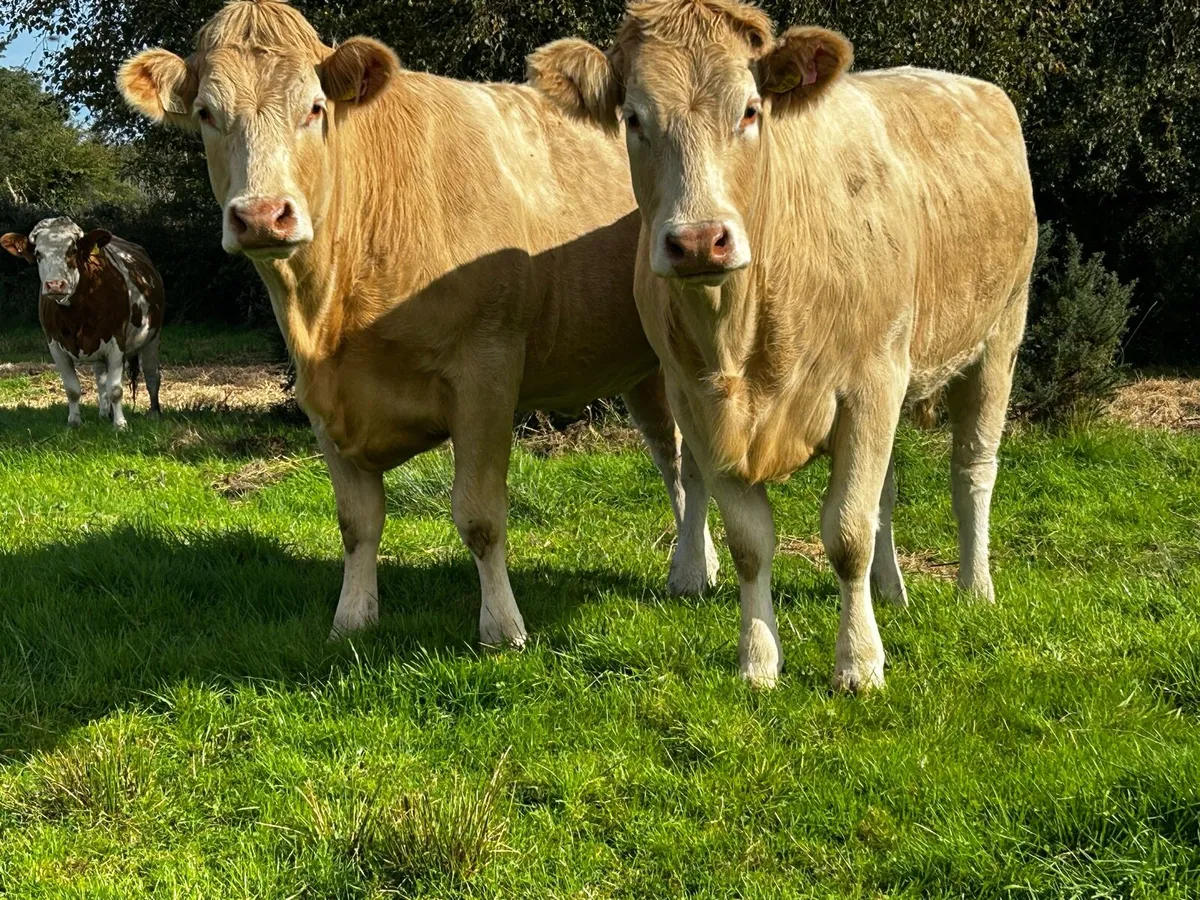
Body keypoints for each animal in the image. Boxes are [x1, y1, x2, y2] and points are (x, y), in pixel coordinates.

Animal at [2, 217, 164, 429]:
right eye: (37, 253)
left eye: (72, 250)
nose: (55, 285)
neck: (75, 315)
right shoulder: (55, 345)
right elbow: (72, 388)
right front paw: (74, 422)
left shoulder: (116, 342)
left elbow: (115, 388)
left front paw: (120, 424)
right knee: (101, 379)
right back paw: (104, 413)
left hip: (152, 336)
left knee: (152, 375)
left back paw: (154, 413)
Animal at [117, 0, 719, 645]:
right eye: (207, 113)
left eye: (315, 108)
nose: (261, 215)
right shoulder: (321, 396)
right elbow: (356, 521)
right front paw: (352, 618)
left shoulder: (485, 373)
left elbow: (479, 514)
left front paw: (502, 627)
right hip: (642, 365)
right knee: (673, 458)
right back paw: (697, 563)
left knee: (692, 461)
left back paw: (691, 572)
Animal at [529, 0, 1037, 691]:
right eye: (633, 118)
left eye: (750, 110)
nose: (699, 241)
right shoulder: (700, 404)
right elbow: (751, 541)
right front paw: (758, 661)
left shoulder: (870, 383)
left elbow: (847, 532)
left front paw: (859, 663)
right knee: (887, 492)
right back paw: (893, 590)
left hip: (999, 335)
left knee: (973, 470)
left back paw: (975, 587)